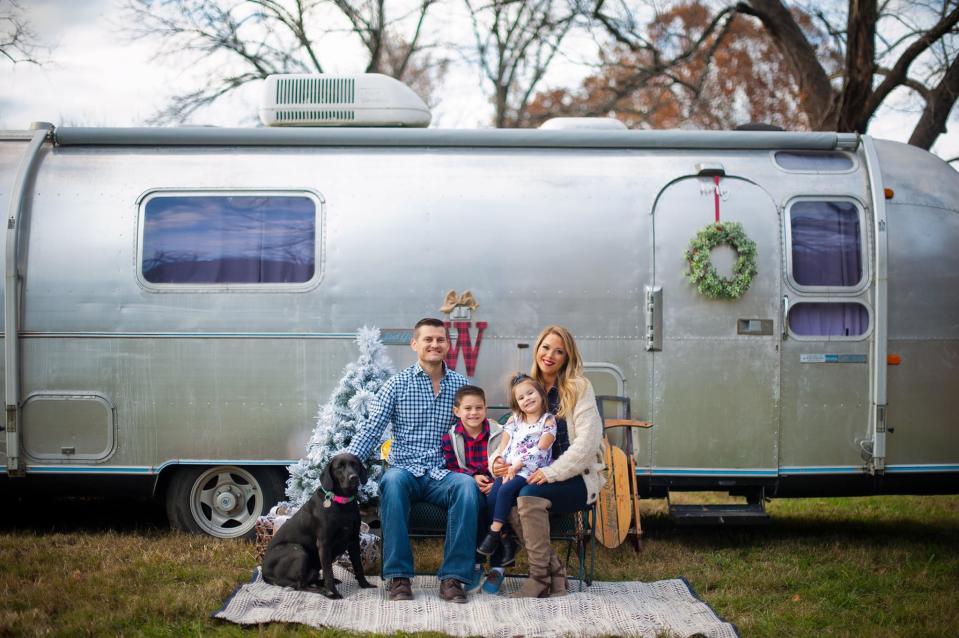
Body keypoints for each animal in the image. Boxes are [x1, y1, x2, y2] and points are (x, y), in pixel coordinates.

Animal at [266, 452, 378, 596]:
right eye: (339, 467)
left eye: (355, 465)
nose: (354, 478)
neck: (342, 503)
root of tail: (264, 573)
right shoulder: (324, 544)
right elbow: (328, 571)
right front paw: (333, 593)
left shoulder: (353, 541)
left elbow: (358, 567)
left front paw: (365, 585)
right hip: (297, 550)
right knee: (300, 585)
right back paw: (324, 591)